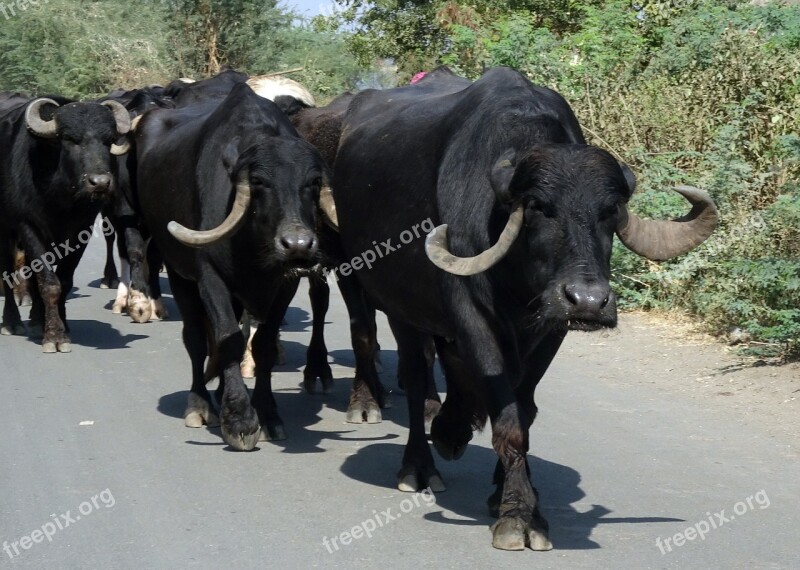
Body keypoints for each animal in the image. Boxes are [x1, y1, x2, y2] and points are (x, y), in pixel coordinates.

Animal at [0, 94, 131, 350]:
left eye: (109, 140)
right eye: (70, 139)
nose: (100, 182)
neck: (58, 198)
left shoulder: (81, 231)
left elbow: (64, 281)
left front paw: (60, 326)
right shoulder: (28, 227)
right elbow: (49, 283)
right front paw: (54, 336)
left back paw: (36, 319)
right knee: (7, 270)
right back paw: (11, 322)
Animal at [133, 79, 330, 448]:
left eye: (312, 182)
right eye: (259, 182)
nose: (297, 245)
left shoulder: (285, 285)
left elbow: (262, 345)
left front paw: (267, 413)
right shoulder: (210, 279)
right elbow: (228, 338)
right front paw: (239, 419)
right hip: (180, 275)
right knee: (197, 339)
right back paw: (200, 404)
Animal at [328, 65, 716, 544]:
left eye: (610, 210)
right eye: (537, 207)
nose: (588, 301)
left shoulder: (549, 329)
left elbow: (523, 409)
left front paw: (506, 492)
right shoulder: (472, 318)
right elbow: (508, 419)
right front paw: (518, 516)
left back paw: (452, 430)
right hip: (400, 309)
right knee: (417, 379)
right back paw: (419, 464)